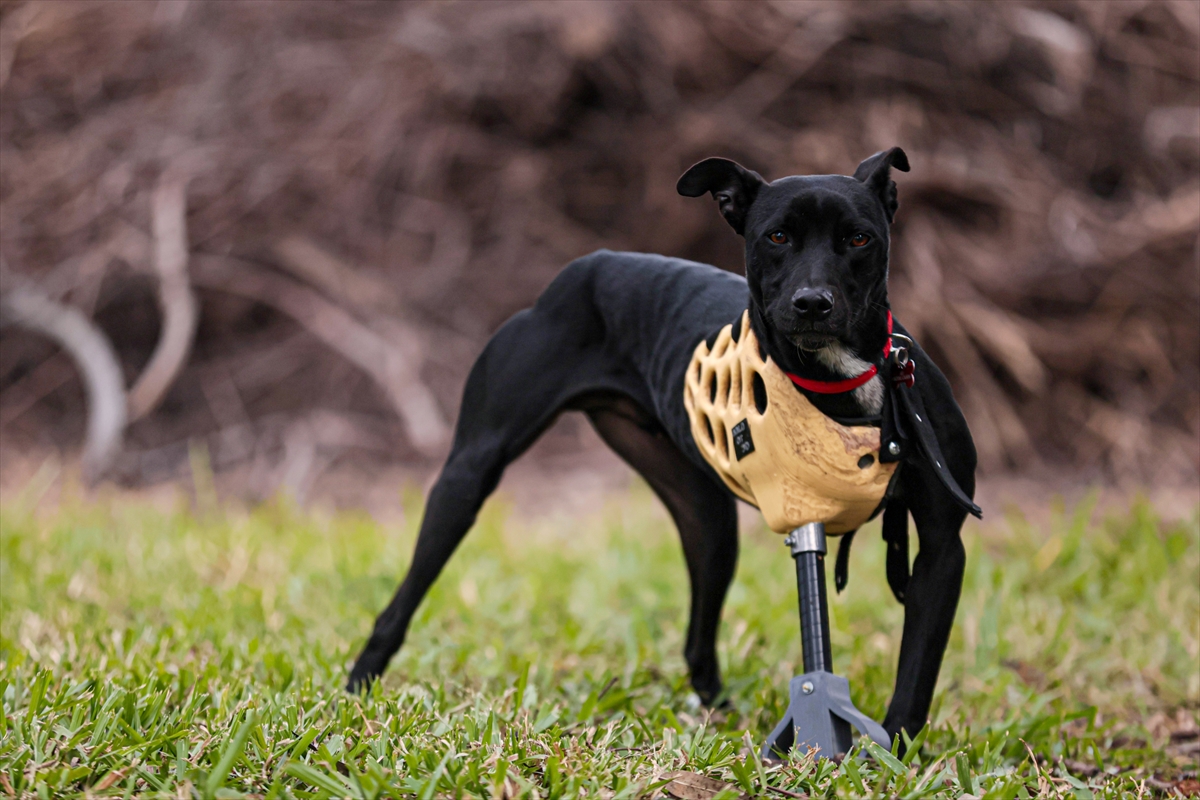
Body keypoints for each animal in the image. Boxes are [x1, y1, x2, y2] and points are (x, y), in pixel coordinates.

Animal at [345, 148, 974, 738]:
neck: (846, 378)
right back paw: (359, 687)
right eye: (776, 237)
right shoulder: (807, 515)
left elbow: (916, 671)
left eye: (859, 238)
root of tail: (590, 265)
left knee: (698, 636)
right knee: (400, 602)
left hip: (707, 522)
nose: (813, 302)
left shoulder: (942, 549)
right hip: (467, 476)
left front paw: (893, 749)